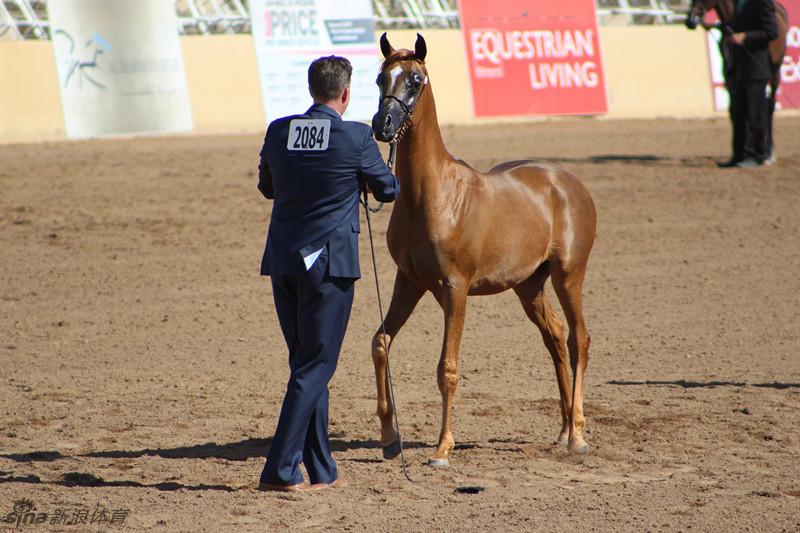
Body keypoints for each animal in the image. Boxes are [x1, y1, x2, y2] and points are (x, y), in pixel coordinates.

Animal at [368, 34, 592, 466]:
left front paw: (442, 448)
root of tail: (568, 181)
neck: (433, 196)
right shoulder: (409, 283)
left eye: (416, 80)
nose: (382, 125)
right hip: (529, 287)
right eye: (379, 78)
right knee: (556, 337)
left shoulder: (455, 290)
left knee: (578, 340)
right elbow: (381, 343)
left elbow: (447, 367)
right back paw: (562, 431)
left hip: (568, 276)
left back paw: (577, 434)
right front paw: (389, 435)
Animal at [684, 0, 792, 160]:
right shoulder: (730, 75)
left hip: (775, 72)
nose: (690, 21)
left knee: (770, 106)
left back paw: (769, 151)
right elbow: (734, 110)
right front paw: (738, 153)